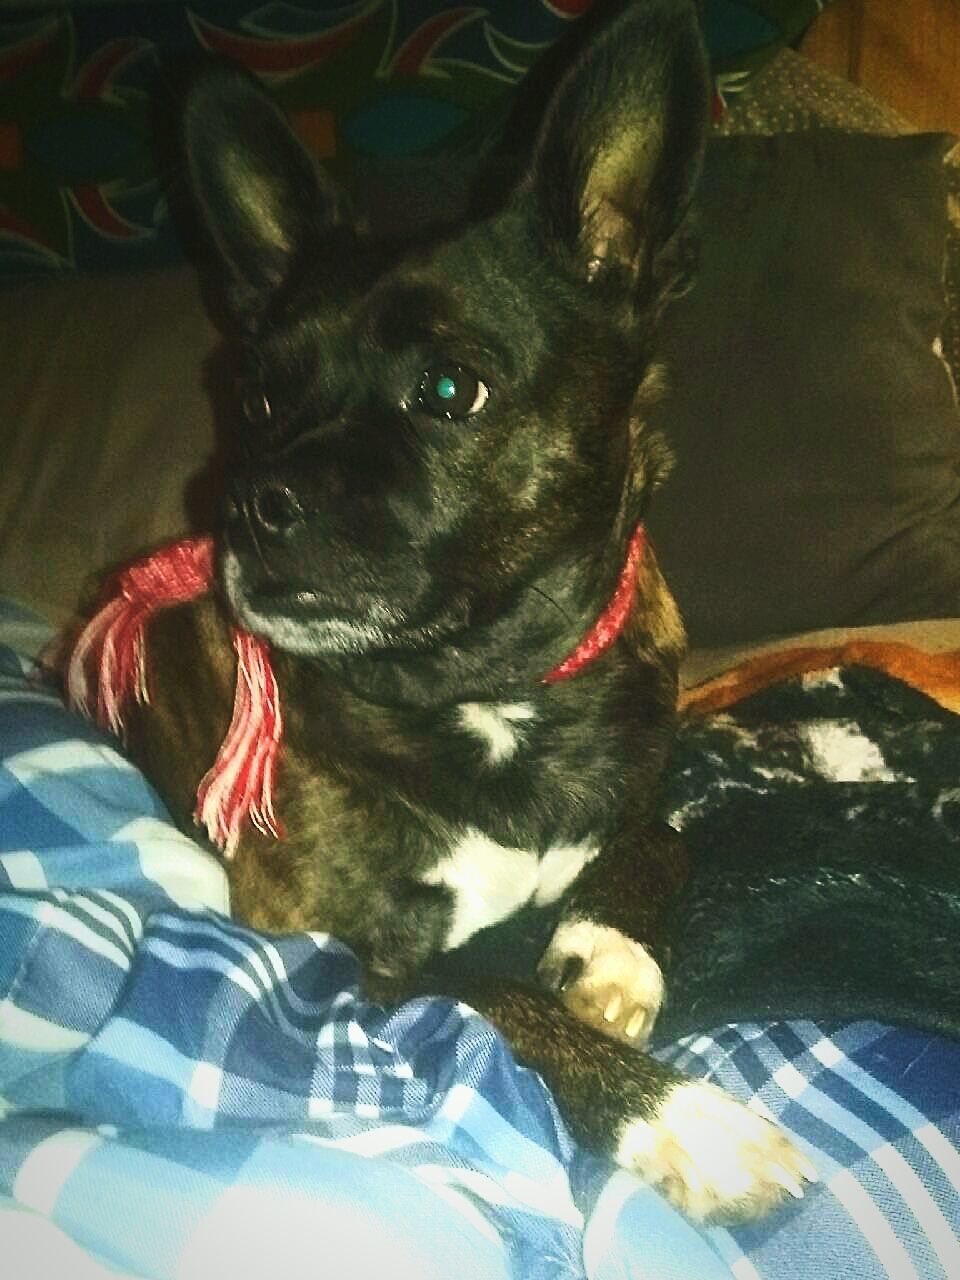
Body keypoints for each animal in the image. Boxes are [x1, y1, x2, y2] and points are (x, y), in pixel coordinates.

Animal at [104, 0, 814, 1218]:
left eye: (448, 390)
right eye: (259, 398)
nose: (251, 502)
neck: (495, 689)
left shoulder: (637, 788)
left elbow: (663, 836)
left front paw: (609, 947)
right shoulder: (343, 958)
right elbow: (500, 996)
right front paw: (688, 1119)